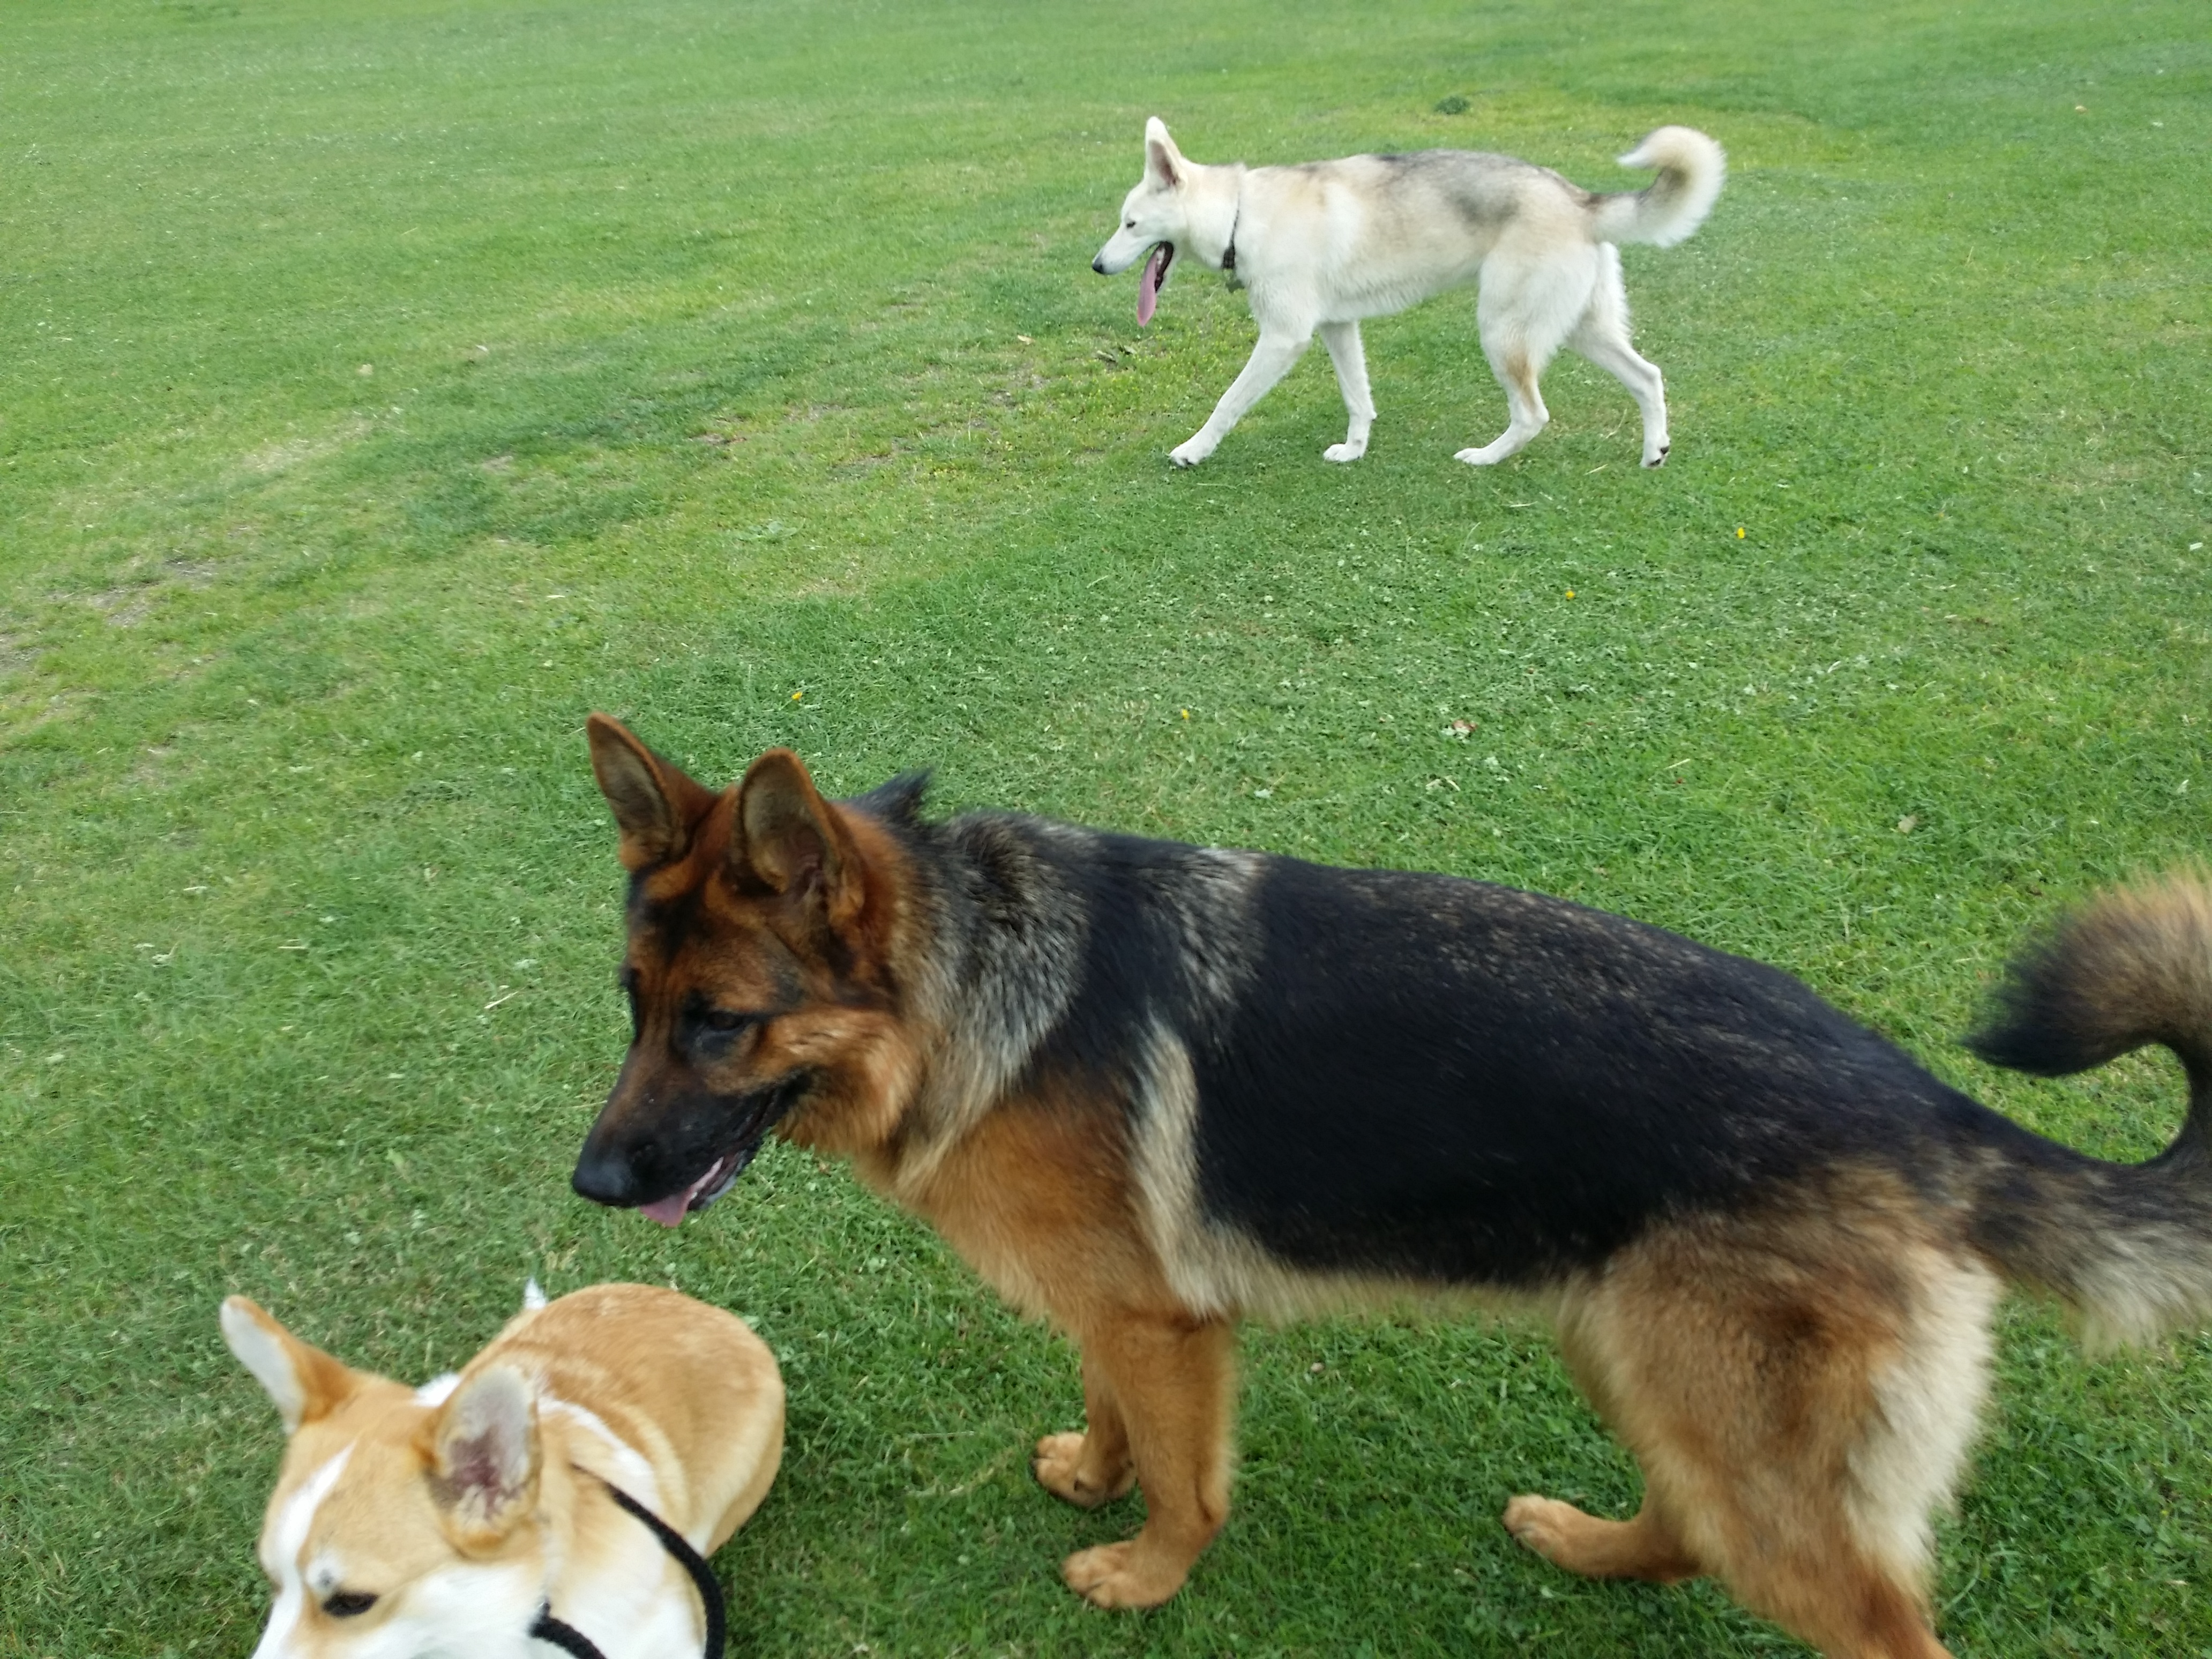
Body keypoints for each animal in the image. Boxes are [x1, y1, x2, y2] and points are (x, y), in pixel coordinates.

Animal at [566, 716, 2212, 1659]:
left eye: (719, 1024)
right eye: (635, 1005)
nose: (589, 1181)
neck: (968, 989)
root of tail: (1926, 1111)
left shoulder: (1169, 1327)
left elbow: (1187, 1479)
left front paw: (1144, 1573)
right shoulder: (1118, 1309)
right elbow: (1109, 1412)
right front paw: (1092, 1475)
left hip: (1740, 1439)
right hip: (1644, 1367)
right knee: (1684, 1528)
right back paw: (1583, 1544)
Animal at [1097, 119, 1716, 471]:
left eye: (1130, 225)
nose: (1097, 265)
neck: (1240, 215)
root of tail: (1580, 200)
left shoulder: (1283, 338)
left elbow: (1227, 403)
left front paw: (1194, 450)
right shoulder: (1338, 328)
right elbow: (1358, 399)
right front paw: (1354, 452)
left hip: (1503, 333)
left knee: (1533, 414)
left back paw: (1485, 458)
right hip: (1582, 329)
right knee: (1648, 377)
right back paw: (1654, 452)